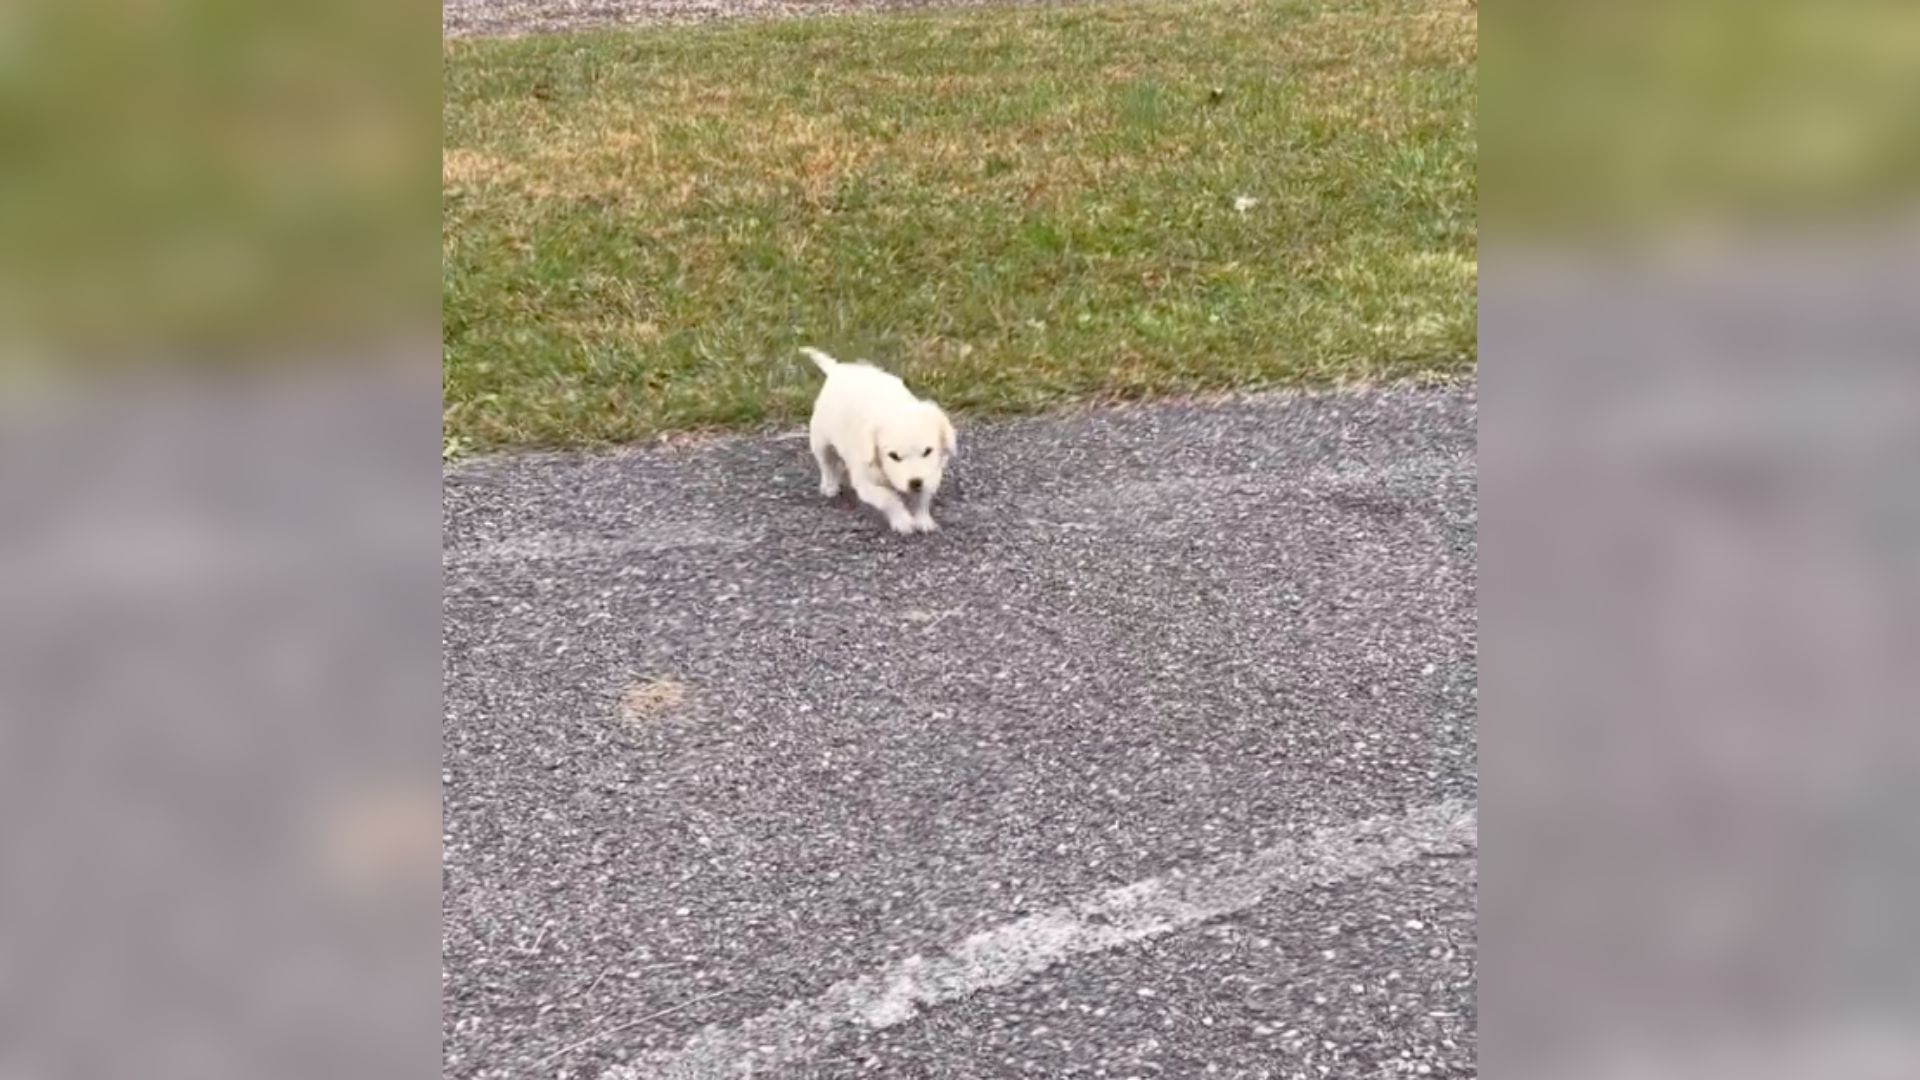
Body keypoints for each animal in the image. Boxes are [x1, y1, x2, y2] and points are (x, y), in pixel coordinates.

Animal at [798, 345, 956, 530]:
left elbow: (922, 499)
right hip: (820, 440)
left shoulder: (932, 474)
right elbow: (889, 498)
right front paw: (902, 521)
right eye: (893, 456)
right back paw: (829, 486)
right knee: (827, 465)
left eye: (927, 451)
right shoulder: (866, 482)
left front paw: (923, 520)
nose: (915, 482)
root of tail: (837, 370)